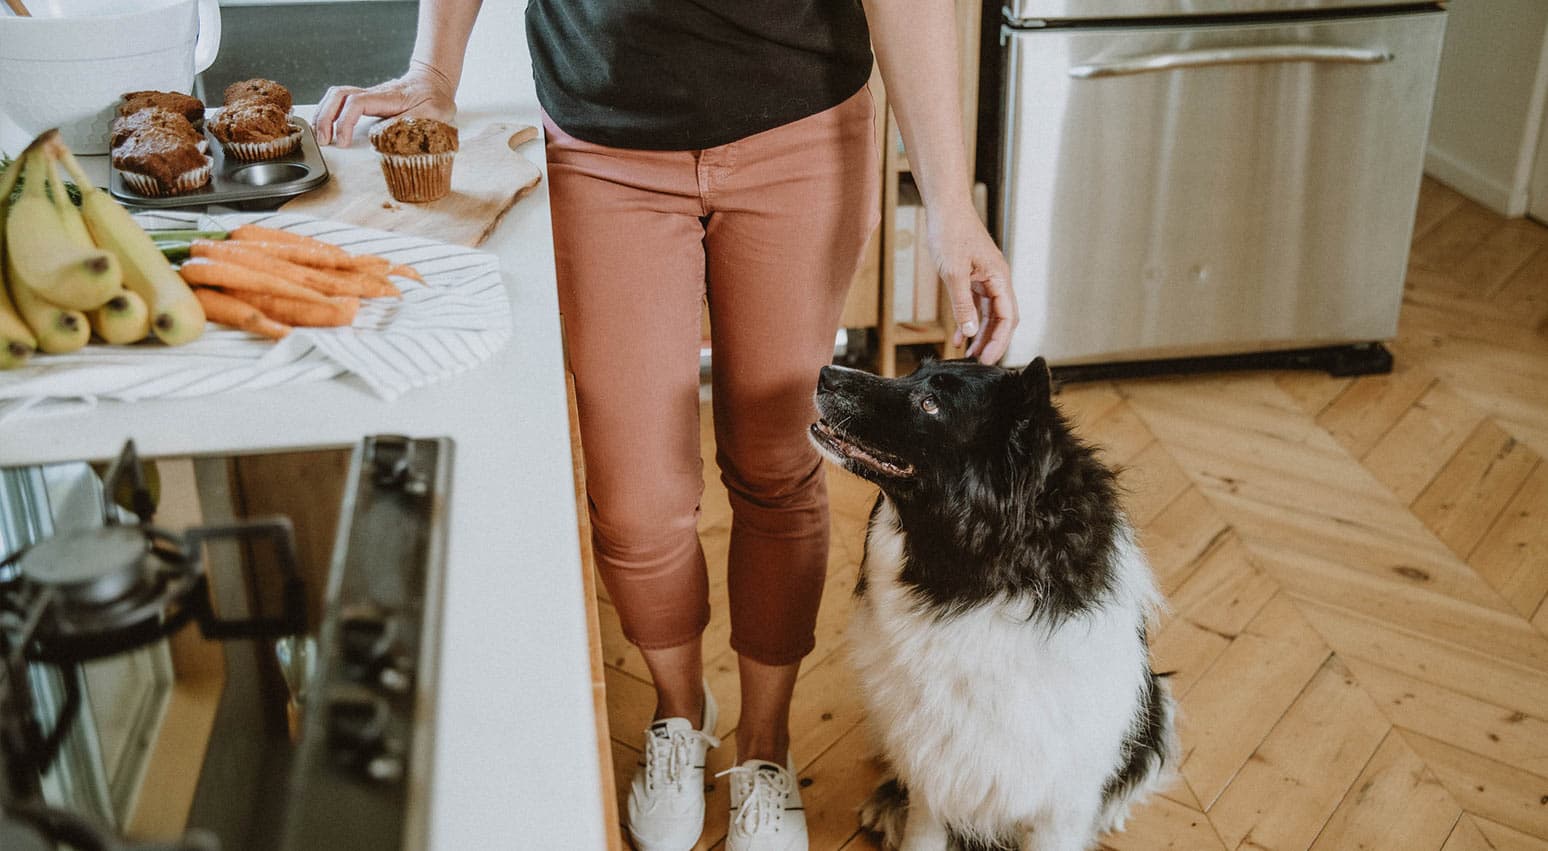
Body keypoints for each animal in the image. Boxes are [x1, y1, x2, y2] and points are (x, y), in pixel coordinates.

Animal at [811, 358, 1170, 851]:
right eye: (915, 372)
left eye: (931, 403)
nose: (824, 372)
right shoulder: (933, 773)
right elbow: (922, 832)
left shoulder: (1060, 802)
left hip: (1155, 705)